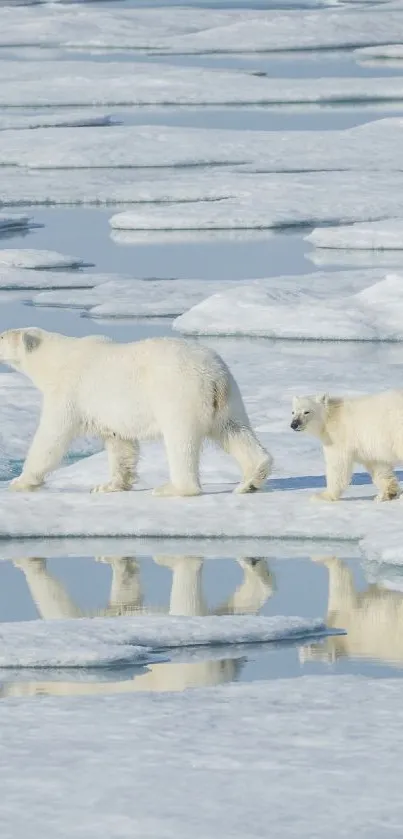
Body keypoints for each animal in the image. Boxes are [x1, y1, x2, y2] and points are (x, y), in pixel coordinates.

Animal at [0, 328, 274, 496]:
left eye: (2, 336)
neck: (57, 359)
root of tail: (215, 376)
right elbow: (120, 443)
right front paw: (108, 485)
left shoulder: (69, 391)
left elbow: (52, 437)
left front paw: (20, 481)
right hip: (229, 399)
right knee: (234, 431)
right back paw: (251, 479)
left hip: (179, 394)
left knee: (181, 441)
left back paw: (171, 489)